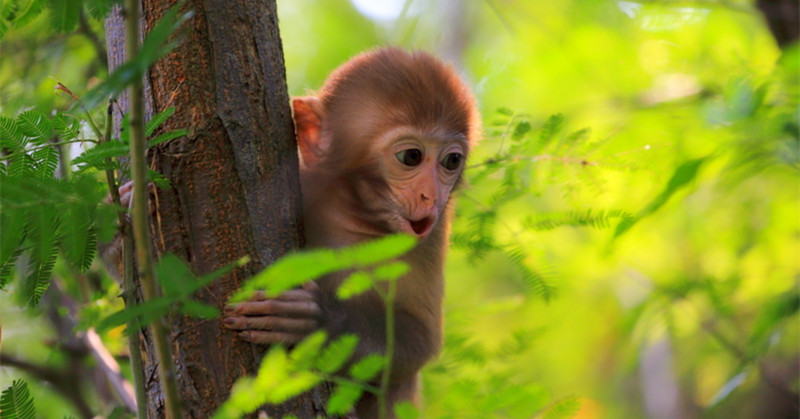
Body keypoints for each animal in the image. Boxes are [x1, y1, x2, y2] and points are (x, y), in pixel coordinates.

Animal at [223, 47, 482, 418]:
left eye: (451, 161)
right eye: (411, 156)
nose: (431, 195)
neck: (351, 214)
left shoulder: (429, 241)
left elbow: (420, 340)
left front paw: (320, 321)